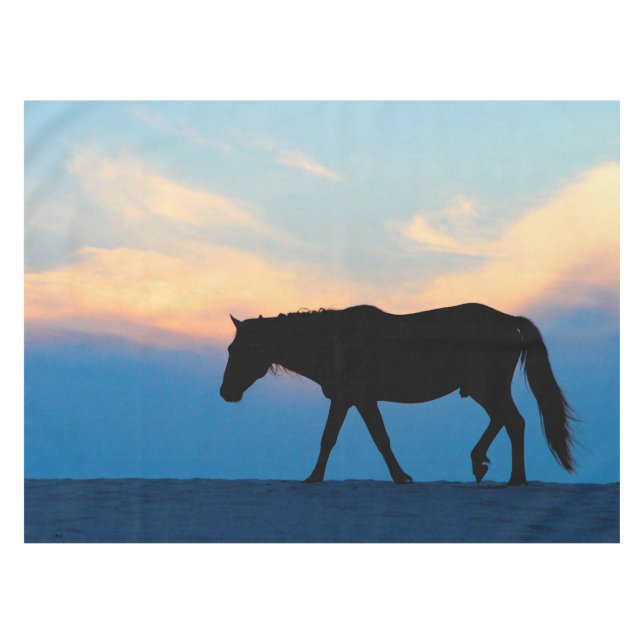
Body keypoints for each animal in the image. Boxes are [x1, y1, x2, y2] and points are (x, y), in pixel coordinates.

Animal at [220, 303, 575, 485]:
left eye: (235, 349)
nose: (225, 392)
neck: (335, 341)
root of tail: (511, 321)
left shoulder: (355, 398)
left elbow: (361, 438)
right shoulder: (353, 399)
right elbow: (348, 437)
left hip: (485, 387)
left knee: (513, 421)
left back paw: (512, 477)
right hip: (483, 388)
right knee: (507, 420)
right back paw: (486, 466)